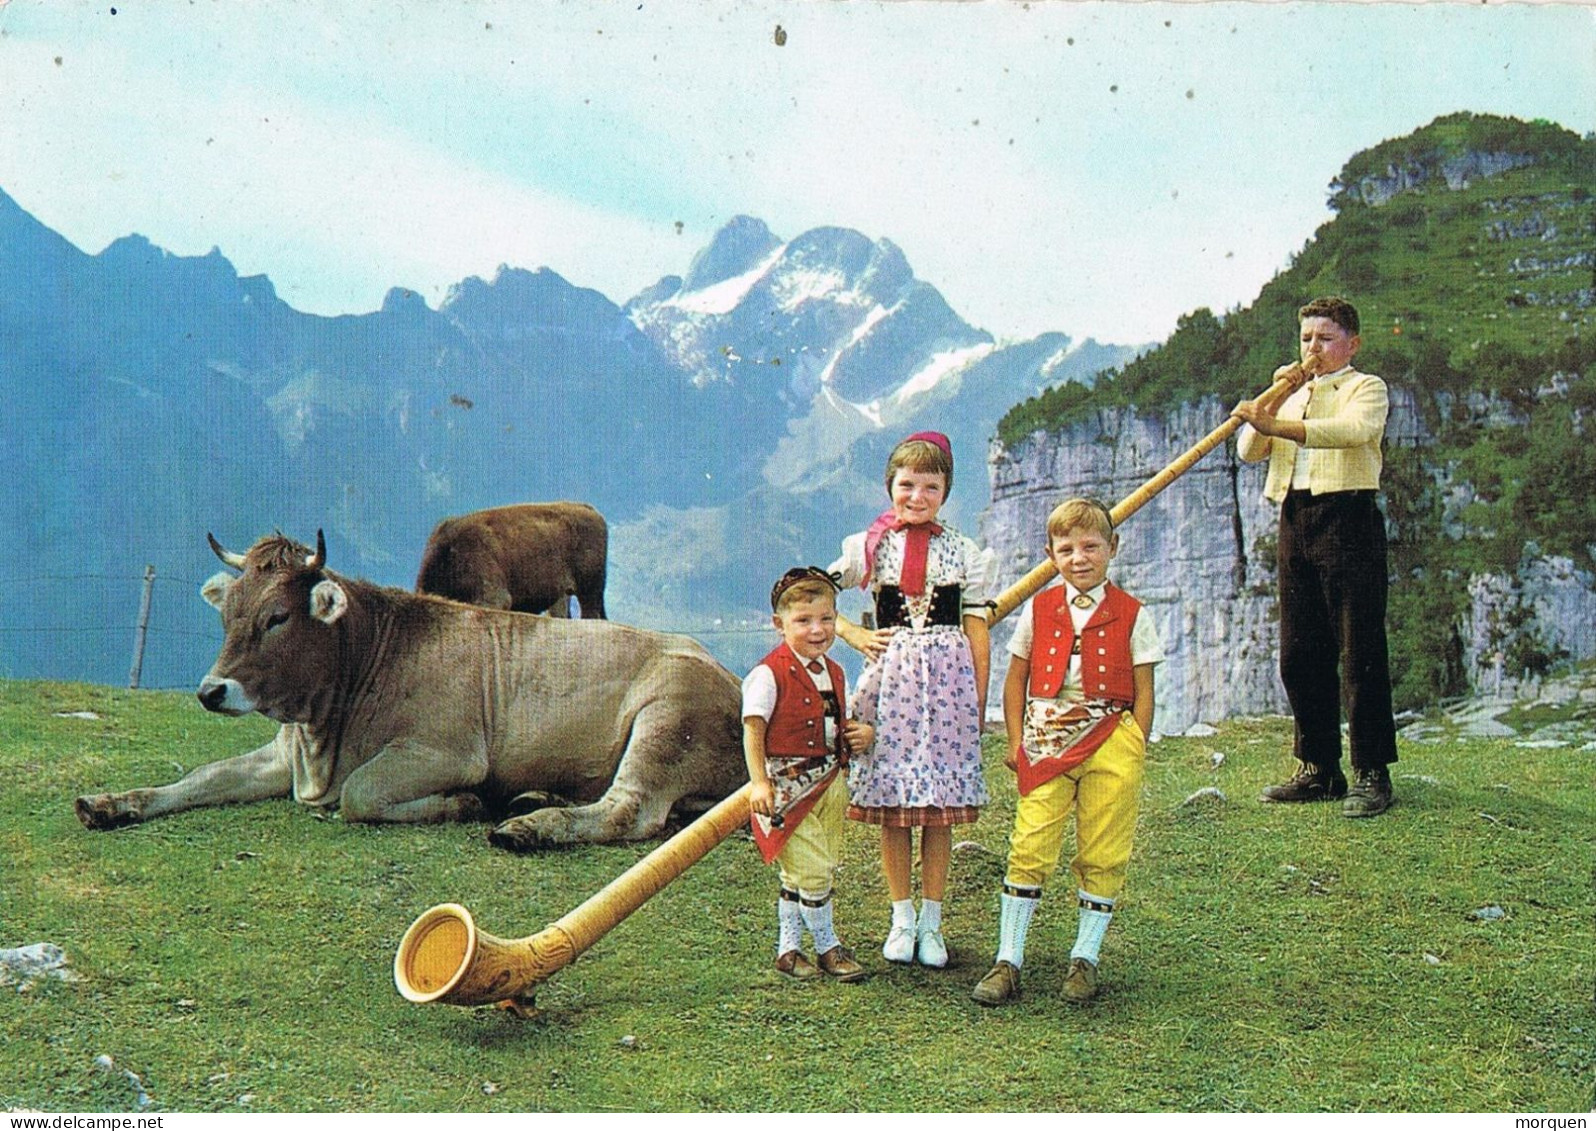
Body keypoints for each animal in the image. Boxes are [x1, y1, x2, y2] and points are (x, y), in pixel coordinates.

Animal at [75, 532, 746, 848]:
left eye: (277, 618)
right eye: (229, 614)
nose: (212, 691)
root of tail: (729, 674)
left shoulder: (445, 753)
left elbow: (361, 794)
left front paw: (464, 804)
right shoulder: (282, 754)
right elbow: (201, 777)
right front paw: (112, 803)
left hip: (665, 720)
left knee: (630, 810)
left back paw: (528, 827)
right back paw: (533, 799)